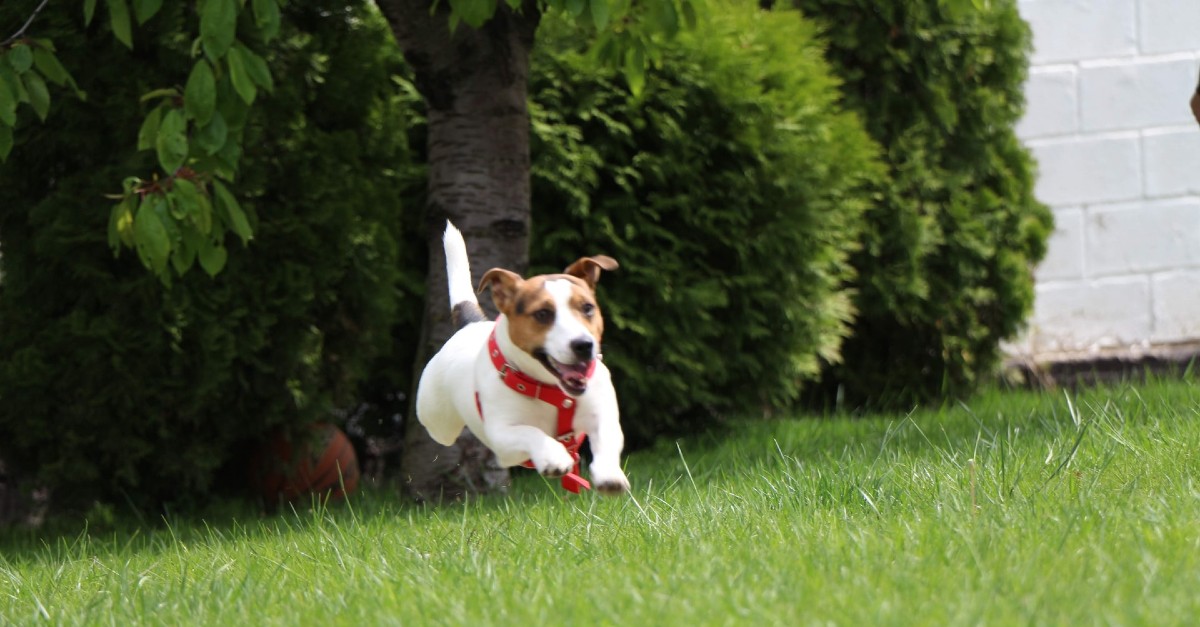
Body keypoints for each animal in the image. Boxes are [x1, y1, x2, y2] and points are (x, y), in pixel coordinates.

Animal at [417, 221, 633, 492]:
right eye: (542, 313)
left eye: (587, 308)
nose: (584, 345)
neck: (550, 389)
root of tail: (471, 325)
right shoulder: (501, 437)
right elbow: (530, 432)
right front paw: (553, 456)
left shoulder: (602, 412)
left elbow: (607, 434)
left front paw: (609, 473)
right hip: (436, 419)